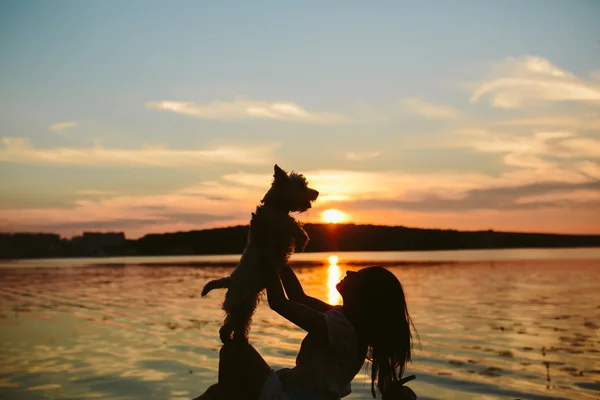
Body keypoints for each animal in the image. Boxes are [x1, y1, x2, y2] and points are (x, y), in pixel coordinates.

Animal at [202, 164, 318, 342]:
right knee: (229, 325)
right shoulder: (277, 223)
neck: (275, 205)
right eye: (301, 186)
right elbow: (292, 224)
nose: (316, 193)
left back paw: (239, 339)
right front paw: (302, 241)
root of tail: (230, 281)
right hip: (241, 304)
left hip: (247, 306)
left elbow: (292, 222)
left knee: (234, 325)